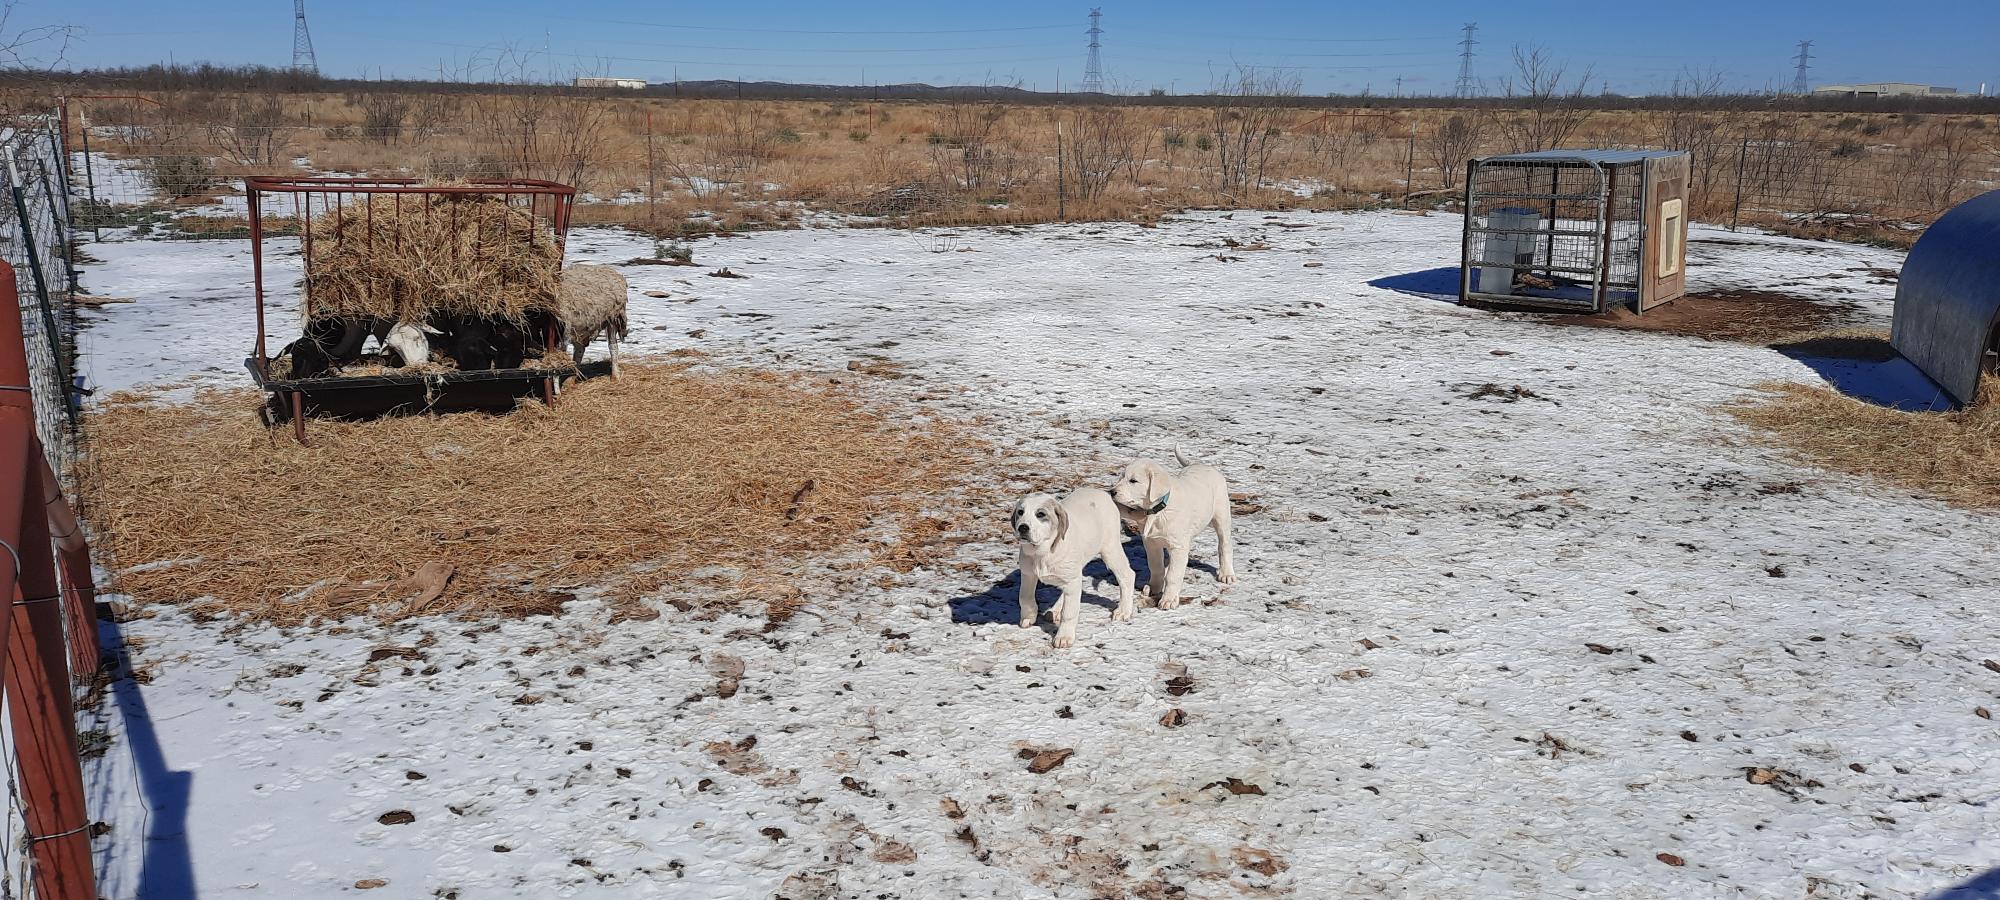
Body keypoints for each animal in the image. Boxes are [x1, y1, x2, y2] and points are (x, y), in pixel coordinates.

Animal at [1012, 489, 1137, 649]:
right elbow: (1024, 597)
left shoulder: (1071, 581)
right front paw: (1029, 616)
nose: (1022, 527)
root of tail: (1104, 493)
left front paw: (1064, 637)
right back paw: (1055, 610)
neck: (1042, 552)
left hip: (1110, 550)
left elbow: (1069, 612)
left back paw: (1123, 611)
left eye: (1040, 514)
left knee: (1127, 575)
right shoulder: (1028, 574)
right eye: (1020, 512)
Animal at [1110, 447, 1237, 610]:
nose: (1111, 492)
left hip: (1222, 516)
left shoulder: (1178, 547)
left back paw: (1226, 573)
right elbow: (1156, 567)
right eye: (1121, 477)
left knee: (1224, 545)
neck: (1159, 511)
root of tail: (1200, 464)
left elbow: (1173, 575)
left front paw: (1169, 599)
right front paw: (1154, 587)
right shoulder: (1151, 544)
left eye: (1133, 481)